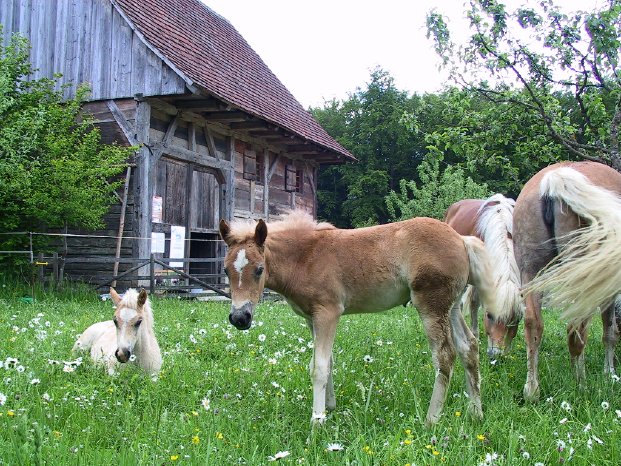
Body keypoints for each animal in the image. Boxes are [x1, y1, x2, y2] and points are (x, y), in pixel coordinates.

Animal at [220, 211, 502, 426]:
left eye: (259, 270)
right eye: (225, 270)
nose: (240, 318)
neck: (305, 257)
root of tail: (461, 239)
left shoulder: (328, 313)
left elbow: (318, 367)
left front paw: (317, 422)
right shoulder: (312, 318)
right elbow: (327, 362)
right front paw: (330, 407)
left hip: (431, 305)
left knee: (445, 355)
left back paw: (431, 420)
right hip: (451, 307)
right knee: (469, 347)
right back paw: (476, 412)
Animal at [512, 161, 620, 400]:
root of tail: (554, 180)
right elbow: (609, 331)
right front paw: (610, 374)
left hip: (530, 270)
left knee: (533, 323)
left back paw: (532, 390)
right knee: (576, 329)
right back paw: (581, 386)